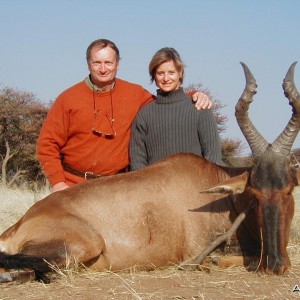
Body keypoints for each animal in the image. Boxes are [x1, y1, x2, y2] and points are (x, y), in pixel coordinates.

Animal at [0, 62, 298, 282]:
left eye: (288, 189)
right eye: (255, 194)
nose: (276, 265)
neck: (217, 189)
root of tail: (18, 225)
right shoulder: (193, 252)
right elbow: (227, 259)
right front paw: (214, 261)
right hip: (87, 244)